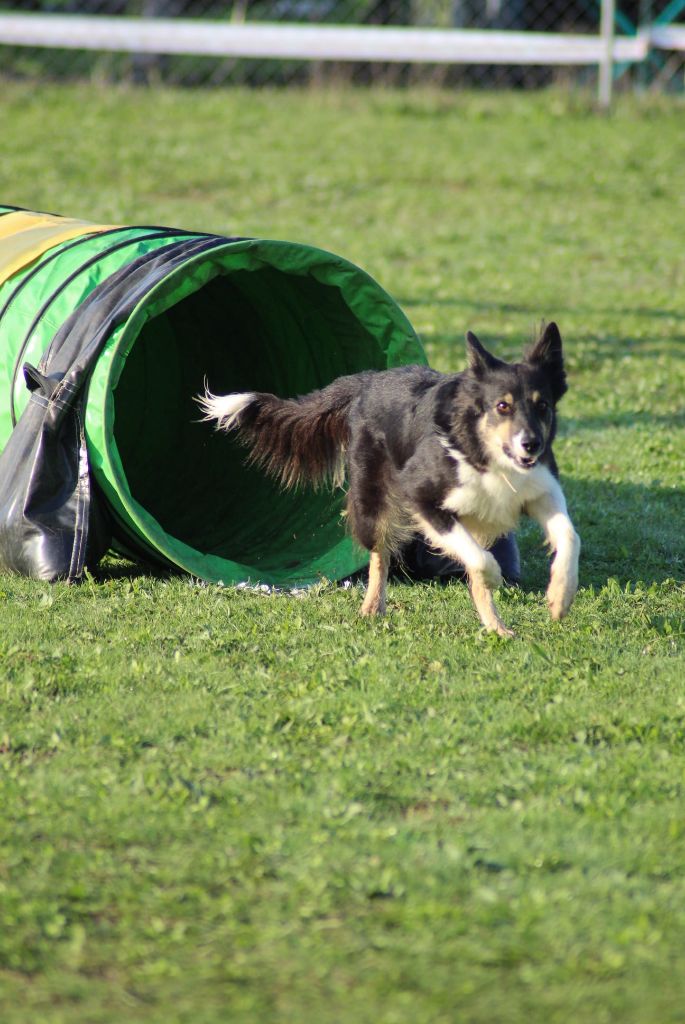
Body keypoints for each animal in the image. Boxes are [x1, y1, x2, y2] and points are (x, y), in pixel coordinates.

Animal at [197, 323, 577, 634]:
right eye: (502, 406)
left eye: (543, 405)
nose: (532, 444)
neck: (485, 453)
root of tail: (368, 380)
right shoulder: (421, 496)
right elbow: (481, 559)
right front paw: (497, 577)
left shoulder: (541, 488)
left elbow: (569, 537)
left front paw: (560, 597)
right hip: (374, 500)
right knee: (379, 556)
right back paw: (372, 607)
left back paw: (498, 628)